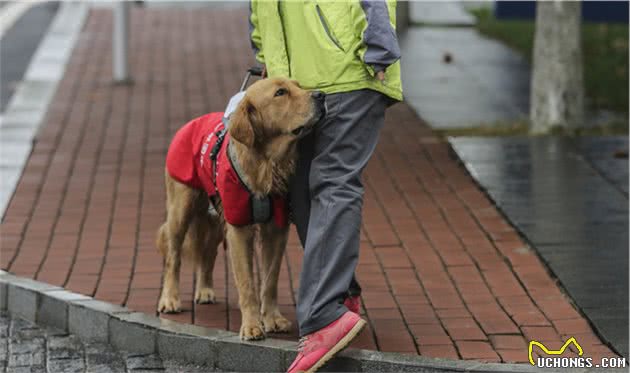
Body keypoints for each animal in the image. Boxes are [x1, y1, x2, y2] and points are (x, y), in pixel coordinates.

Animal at [157, 78, 326, 340]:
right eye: (280, 93)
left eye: (298, 85)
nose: (321, 96)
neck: (266, 164)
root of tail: (191, 122)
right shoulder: (238, 228)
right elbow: (247, 283)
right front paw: (252, 325)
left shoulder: (275, 229)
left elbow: (270, 280)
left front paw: (272, 318)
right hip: (181, 208)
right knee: (173, 257)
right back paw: (170, 299)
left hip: (216, 218)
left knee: (208, 253)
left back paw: (204, 289)